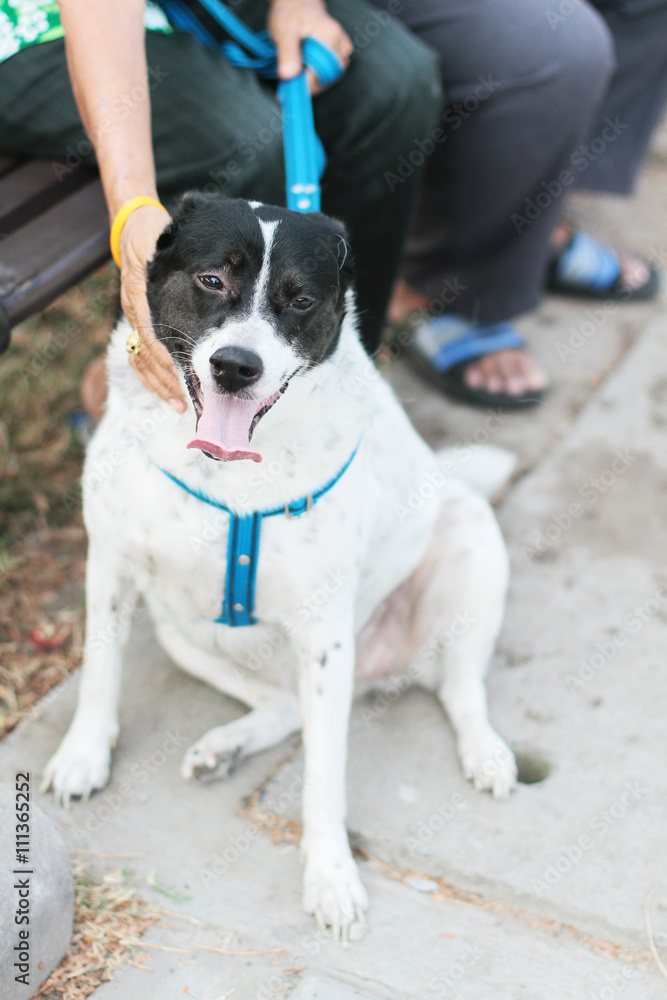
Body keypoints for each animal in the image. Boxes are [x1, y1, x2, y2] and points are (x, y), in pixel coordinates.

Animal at [45, 193, 516, 936]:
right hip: (182, 634)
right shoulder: (111, 567)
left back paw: (487, 753)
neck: (228, 470)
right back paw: (226, 746)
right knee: (285, 705)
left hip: (469, 544)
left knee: (459, 689)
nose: (236, 367)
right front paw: (84, 755)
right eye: (211, 280)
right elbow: (99, 673)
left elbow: (325, 779)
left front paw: (329, 875)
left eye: (299, 301)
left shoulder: (322, 636)